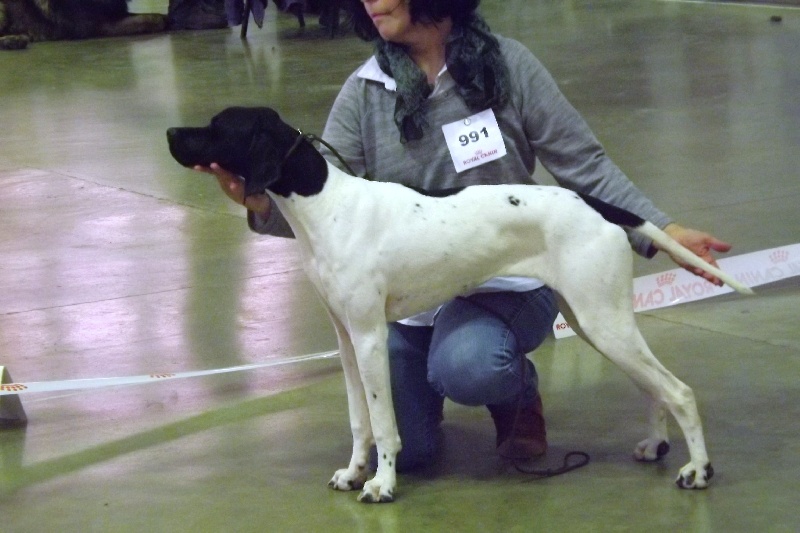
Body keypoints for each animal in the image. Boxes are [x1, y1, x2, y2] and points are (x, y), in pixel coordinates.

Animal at [167, 106, 753, 503]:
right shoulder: (346, 341)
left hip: (603, 321)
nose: (172, 133)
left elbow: (383, 423)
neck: (325, 206)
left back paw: (698, 471)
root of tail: (597, 204)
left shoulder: (369, 337)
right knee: (653, 388)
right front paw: (354, 472)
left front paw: (381, 483)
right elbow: (359, 420)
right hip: (596, 321)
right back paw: (655, 445)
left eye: (219, 126)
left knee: (679, 391)